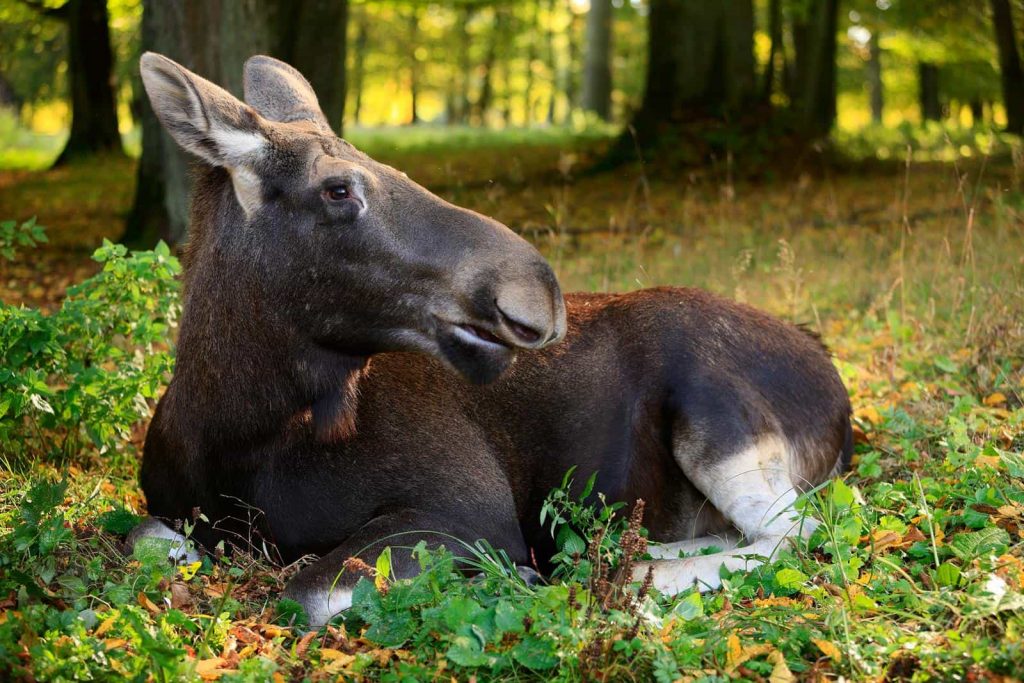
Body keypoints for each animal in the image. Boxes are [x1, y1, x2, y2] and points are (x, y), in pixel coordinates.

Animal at [132, 54, 851, 630]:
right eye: (338, 188)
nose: (539, 290)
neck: (238, 435)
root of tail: (840, 395)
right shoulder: (165, 508)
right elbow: (143, 537)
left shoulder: (469, 510)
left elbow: (306, 592)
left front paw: (515, 579)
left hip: (717, 420)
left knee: (802, 533)